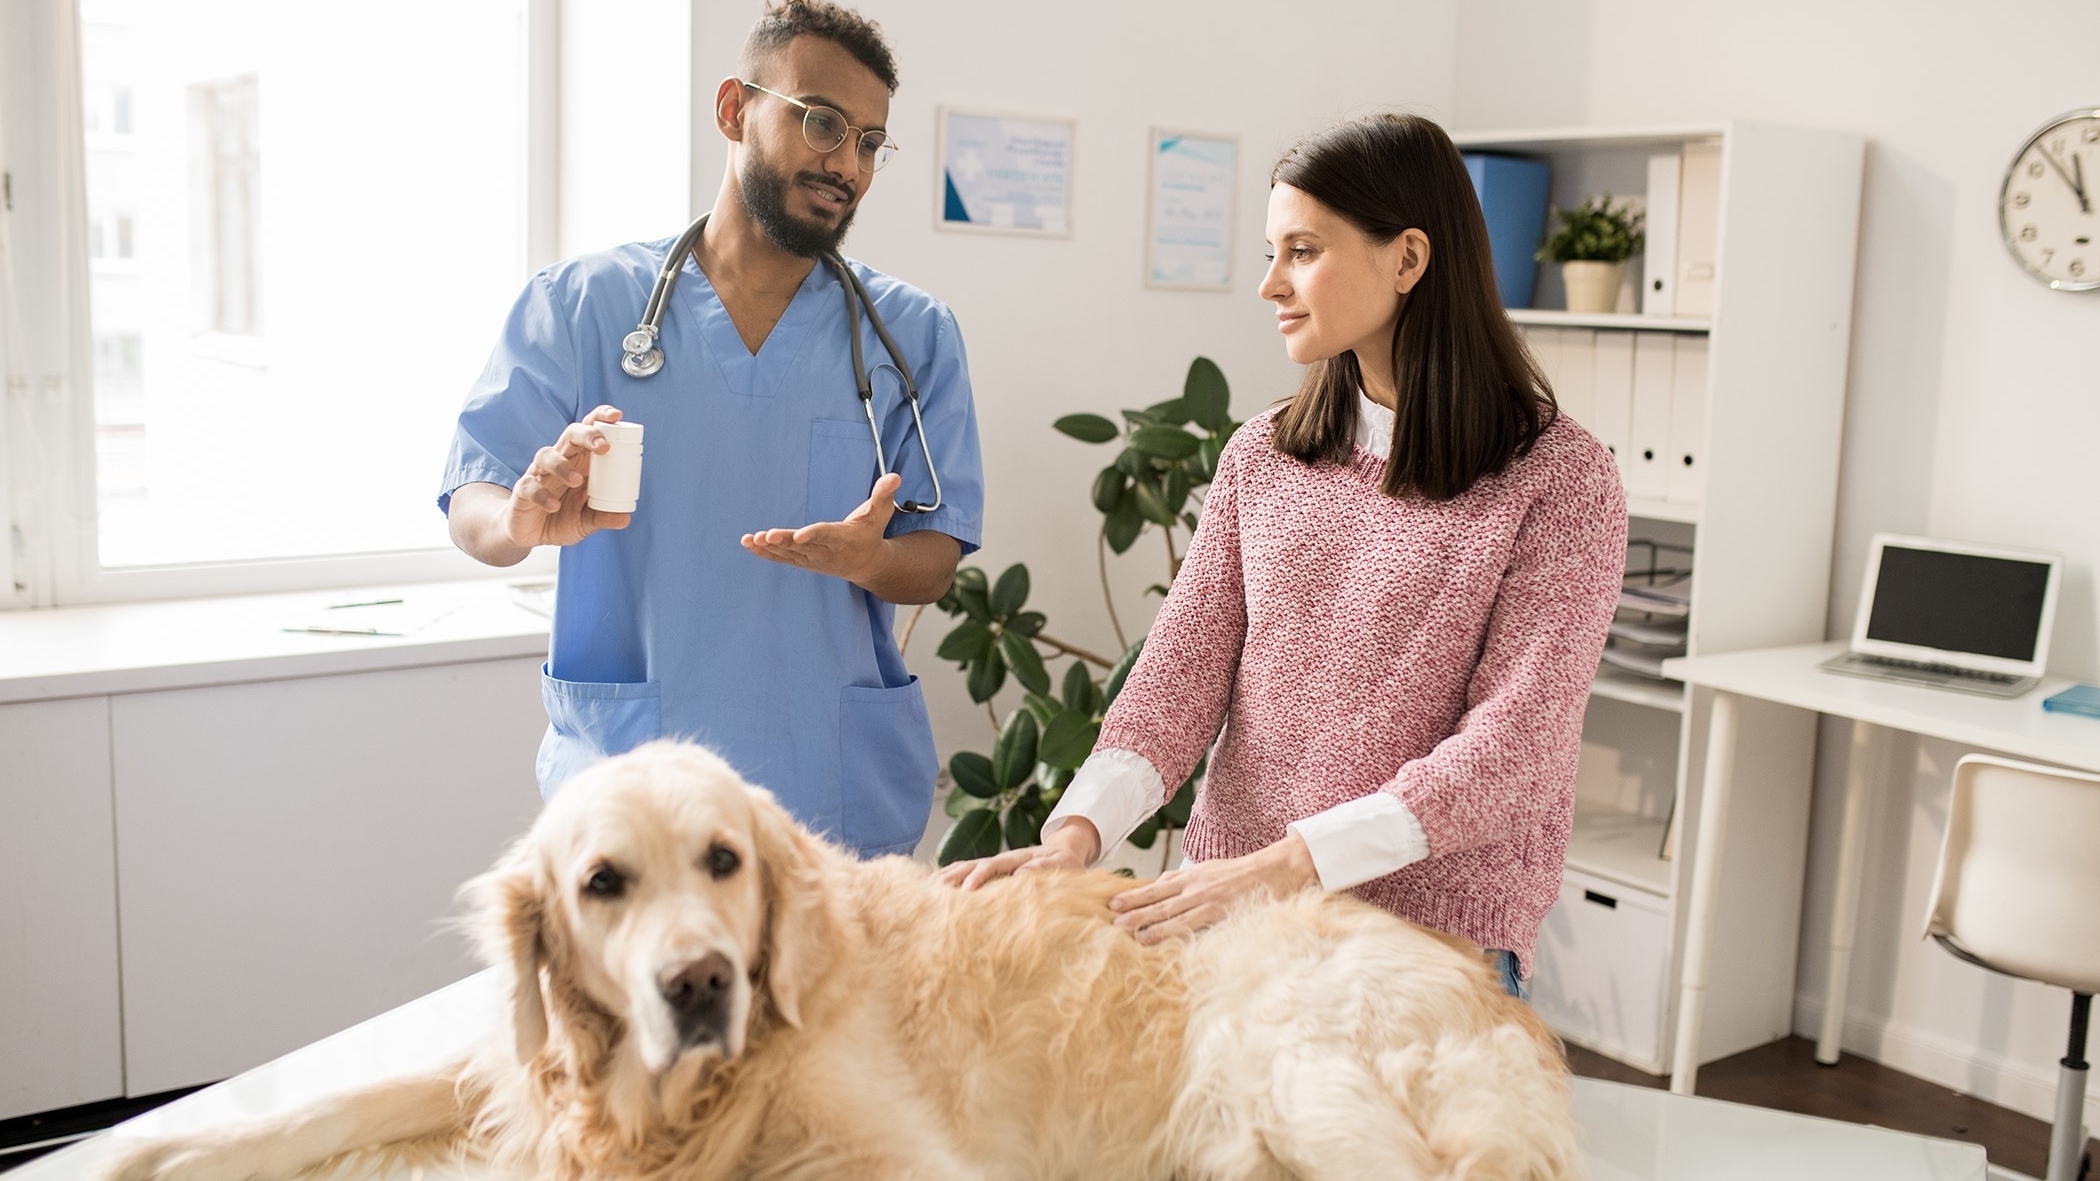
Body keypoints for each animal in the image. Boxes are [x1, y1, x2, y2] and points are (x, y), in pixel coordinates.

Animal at [98, 739, 1579, 1168]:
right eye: (602, 884)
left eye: (725, 862)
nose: (701, 983)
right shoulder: (525, 1073)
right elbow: (350, 1097)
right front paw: (164, 1150)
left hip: (1299, 1079)